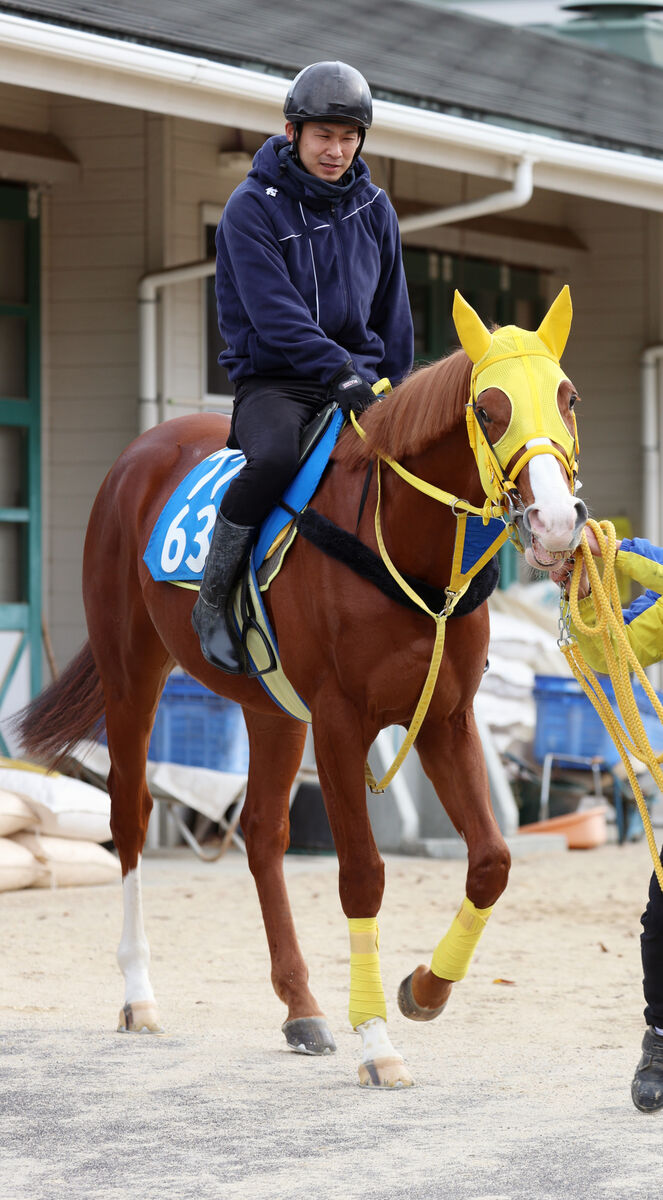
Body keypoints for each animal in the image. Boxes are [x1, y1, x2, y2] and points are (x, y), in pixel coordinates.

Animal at [14, 288, 586, 1089]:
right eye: (490, 406)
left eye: (567, 398)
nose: (557, 522)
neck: (395, 539)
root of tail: (141, 451)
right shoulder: (342, 723)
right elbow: (363, 874)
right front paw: (377, 1039)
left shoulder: (445, 718)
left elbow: (491, 862)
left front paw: (423, 989)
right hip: (133, 676)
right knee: (129, 819)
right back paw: (140, 995)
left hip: (273, 711)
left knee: (261, 833)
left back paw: (301, 1006)